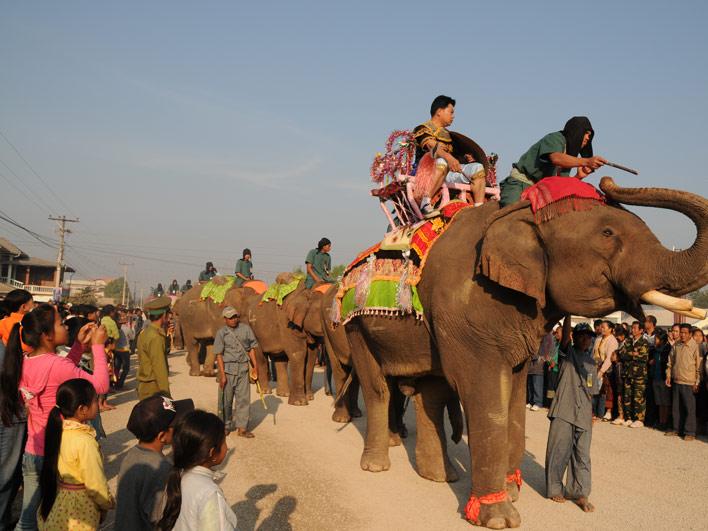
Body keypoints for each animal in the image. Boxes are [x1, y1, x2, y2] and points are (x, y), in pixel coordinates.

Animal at [345, 177, 708, 528]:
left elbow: (514, 396)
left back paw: (441, 476)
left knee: (431, 394)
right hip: (354, 326)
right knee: (377, 388)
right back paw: (377, 465)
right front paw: (499, 517)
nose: (606, 180)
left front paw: (511, 492)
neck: (520, 211)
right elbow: (486, 396)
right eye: (607, 233)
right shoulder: (466, 313)